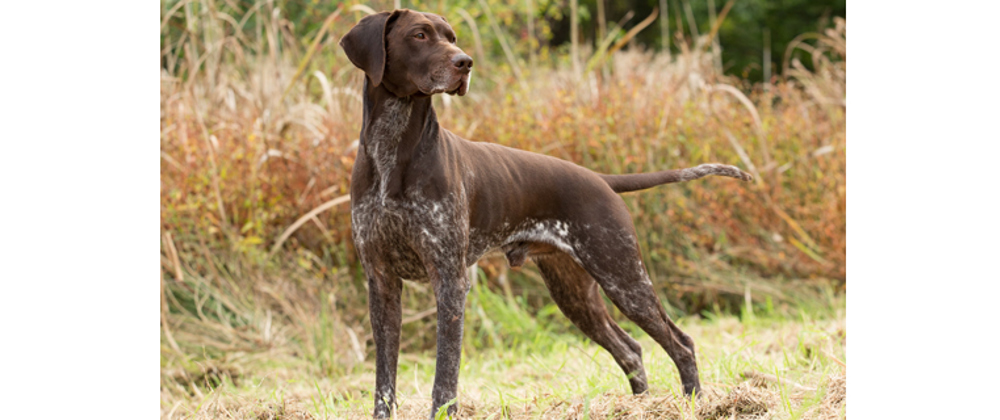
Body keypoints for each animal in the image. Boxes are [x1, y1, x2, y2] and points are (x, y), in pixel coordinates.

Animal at [340, 9, 752, 416]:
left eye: (452, 37)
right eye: (420, 35)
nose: (465, 63)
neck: (393, 151)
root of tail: (601, 179)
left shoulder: (450, 281)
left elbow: (445, 377)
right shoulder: (381, 282)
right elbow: (384, 381)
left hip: (624, 279)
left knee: (681, 343)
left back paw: (693, 403)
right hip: (576, 294)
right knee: (631, 349)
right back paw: (639, 405)